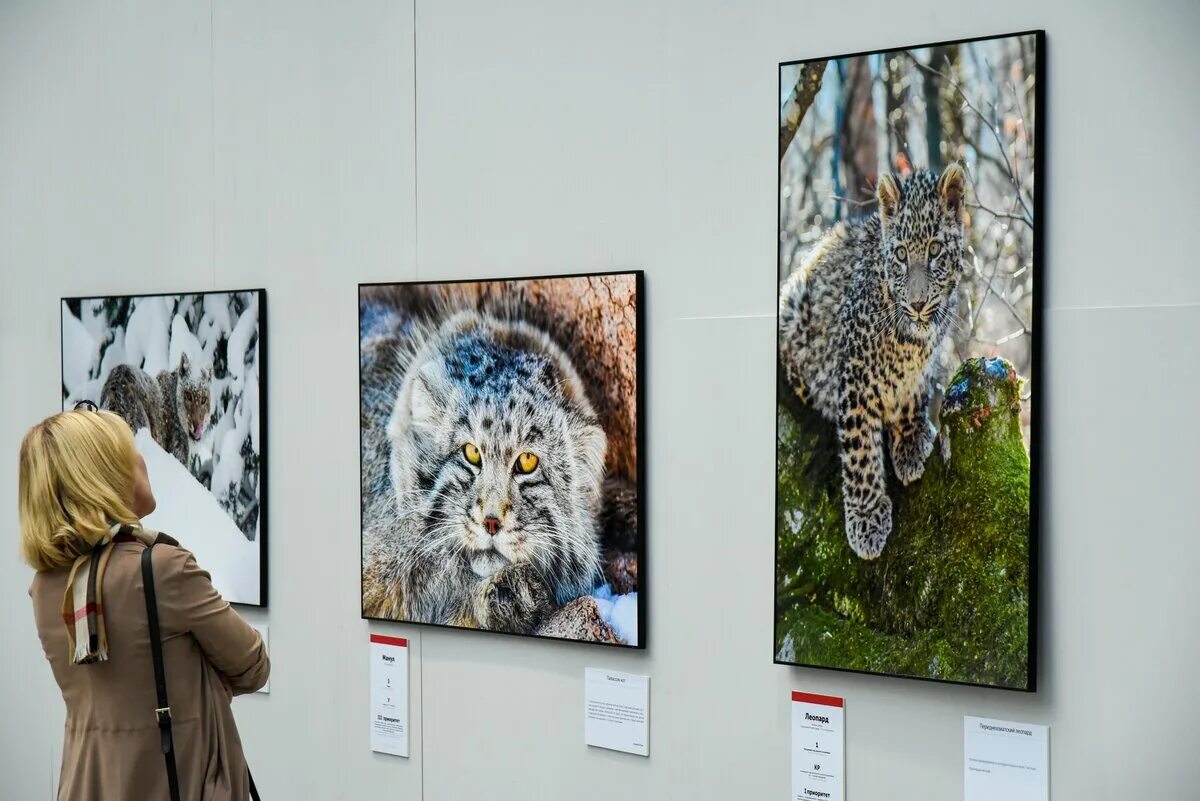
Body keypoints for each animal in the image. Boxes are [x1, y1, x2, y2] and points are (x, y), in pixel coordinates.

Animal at [777, 165, 964, 561]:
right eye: (901, 254)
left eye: (935, 250)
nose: (918, 304)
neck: (910, 337)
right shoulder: (854, 373)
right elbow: (860, 449)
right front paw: (867, 521)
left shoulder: (920, 364)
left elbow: (913, 391)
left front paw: (910, 440)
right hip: (795, 305)